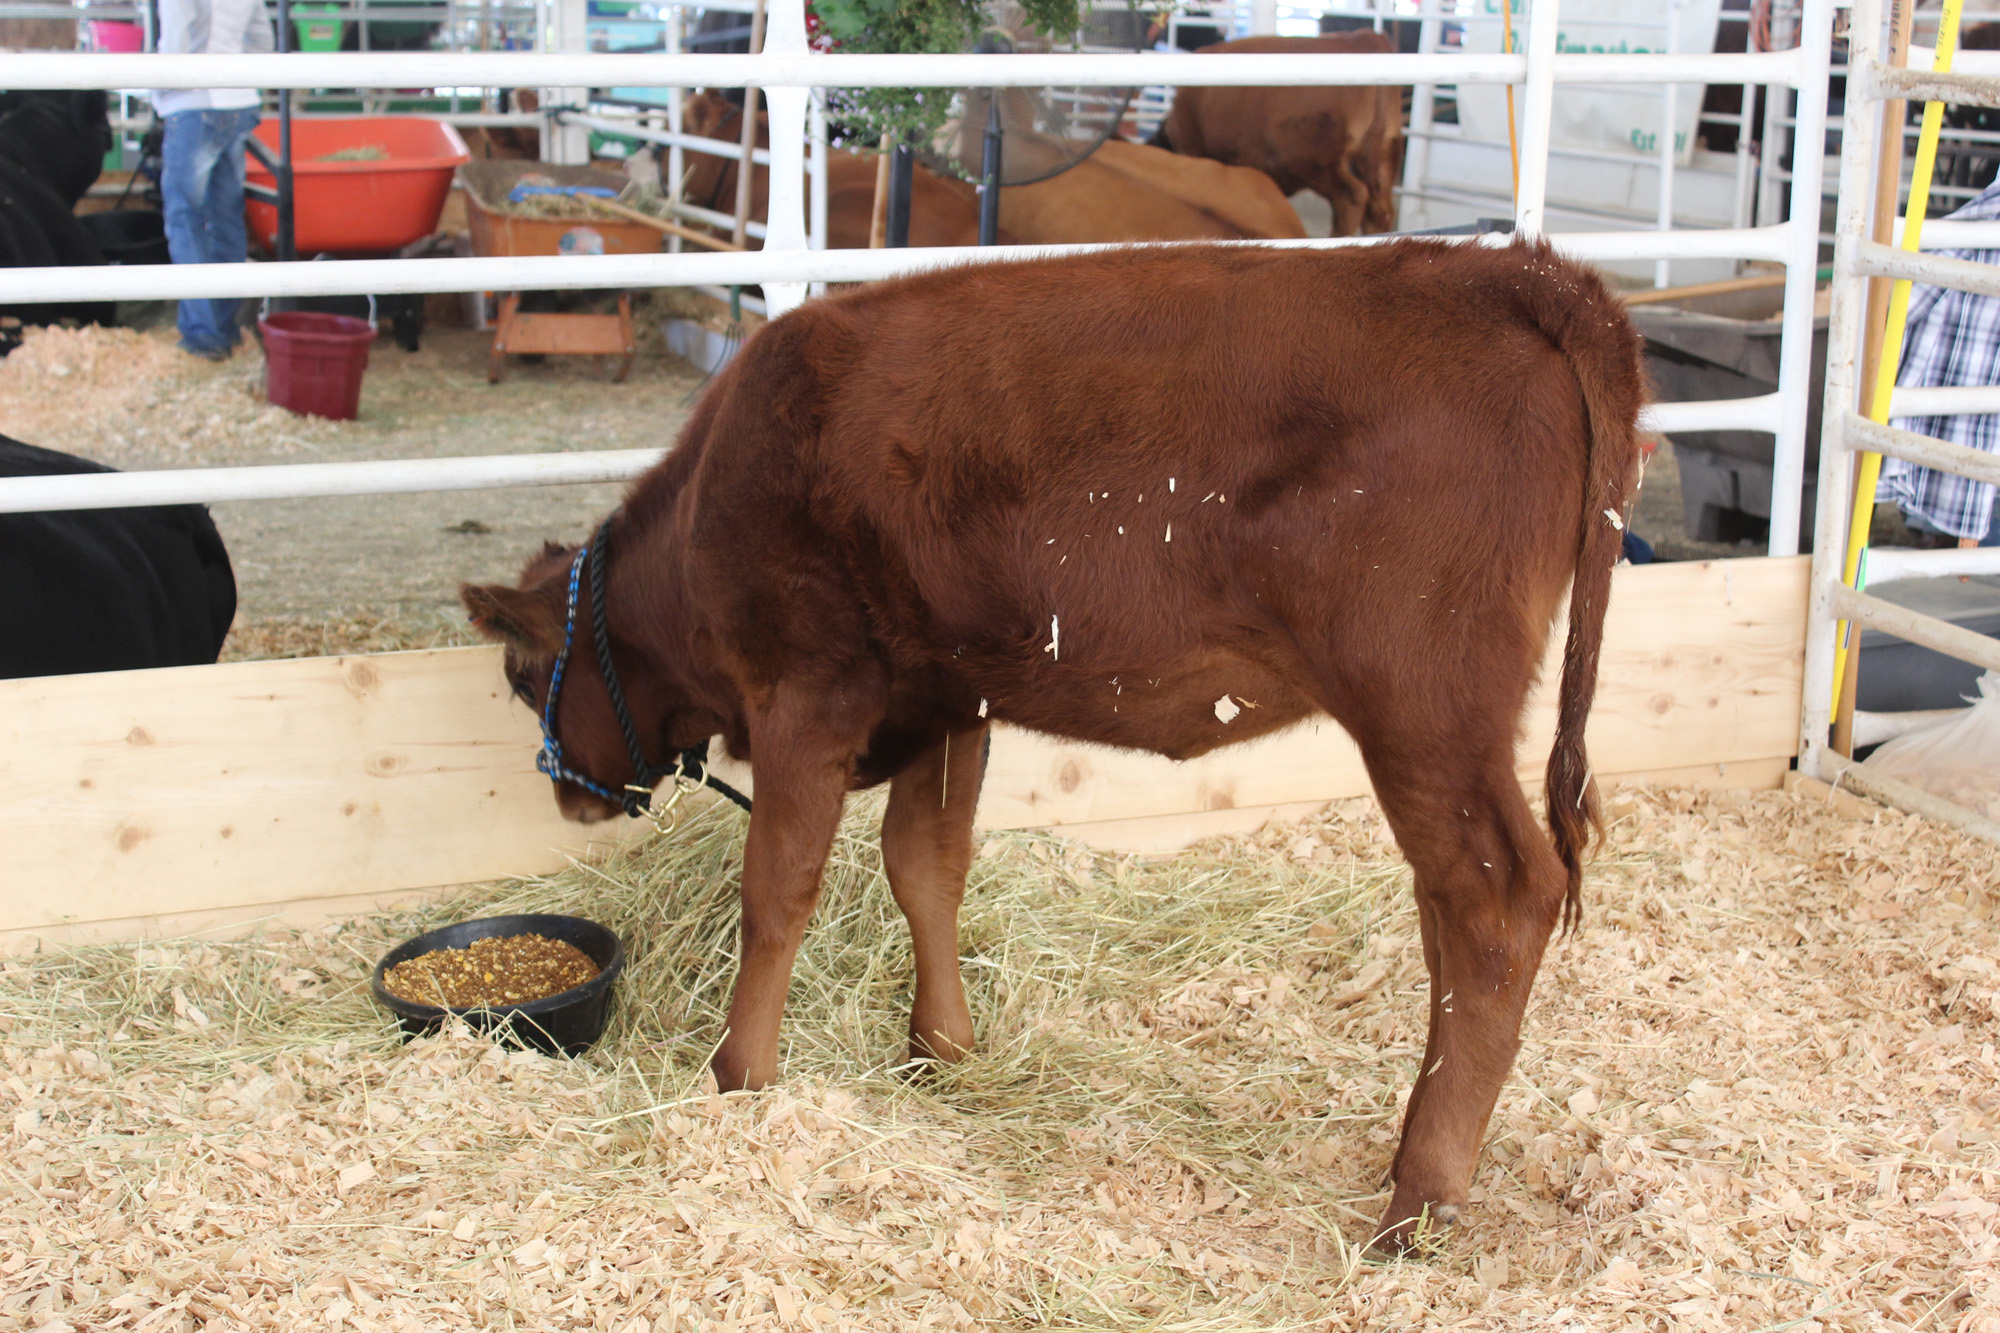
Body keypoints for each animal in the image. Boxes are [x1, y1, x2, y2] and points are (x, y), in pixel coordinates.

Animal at [461, 239, 1645, 1249]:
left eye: (520, 675)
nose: (568, 795)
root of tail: (1518, 273)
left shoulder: (809, 687)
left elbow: (778, 889)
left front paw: (737, 1076)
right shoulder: (946, 700)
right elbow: (924, 865)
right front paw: (939, 1049)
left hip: (1423, 707)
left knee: (1496, 902)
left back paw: (1418, 1200)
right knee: (1449, 911)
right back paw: (1408, 1156)